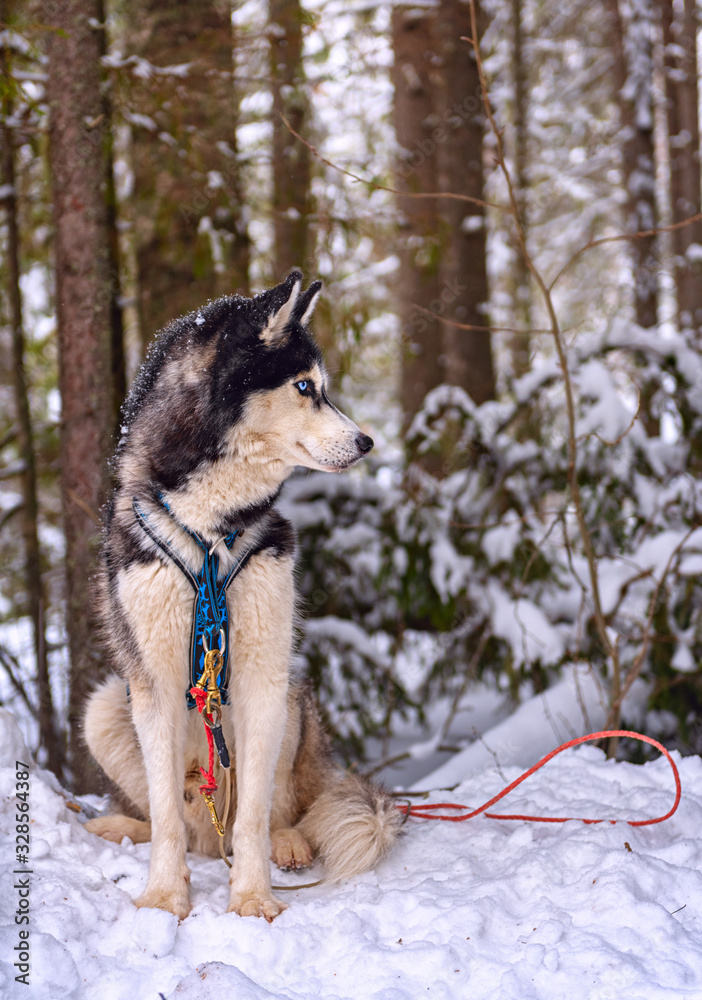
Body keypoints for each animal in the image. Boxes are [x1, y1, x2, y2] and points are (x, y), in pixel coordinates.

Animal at [84, 270, 402, 916]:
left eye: (324, 388)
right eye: (305, 387)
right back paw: (125, 829)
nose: (366, 441)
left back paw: (289, 843)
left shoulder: (263, 674)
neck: (210, 528)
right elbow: (165, 814)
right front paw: (163, 897)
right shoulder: (151, 680)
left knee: (275, 812)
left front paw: (253, 899)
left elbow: (253, 814)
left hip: (291, 700)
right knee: (176, 823)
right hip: (105, 705)